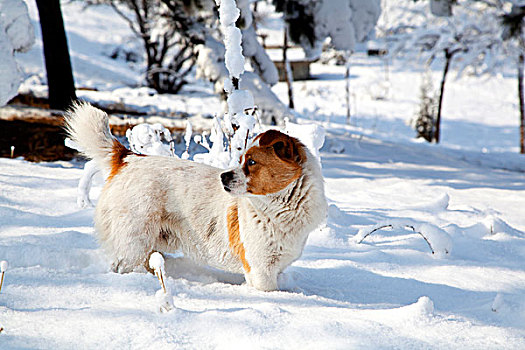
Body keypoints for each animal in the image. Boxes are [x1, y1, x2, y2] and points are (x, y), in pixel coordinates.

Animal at [64, 102, 328, 292]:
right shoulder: (261, 270)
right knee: (122, 265)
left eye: (252, 162)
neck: (281, 208)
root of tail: (128, 158)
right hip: (133, 241)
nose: (223, 176)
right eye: (243, 159)